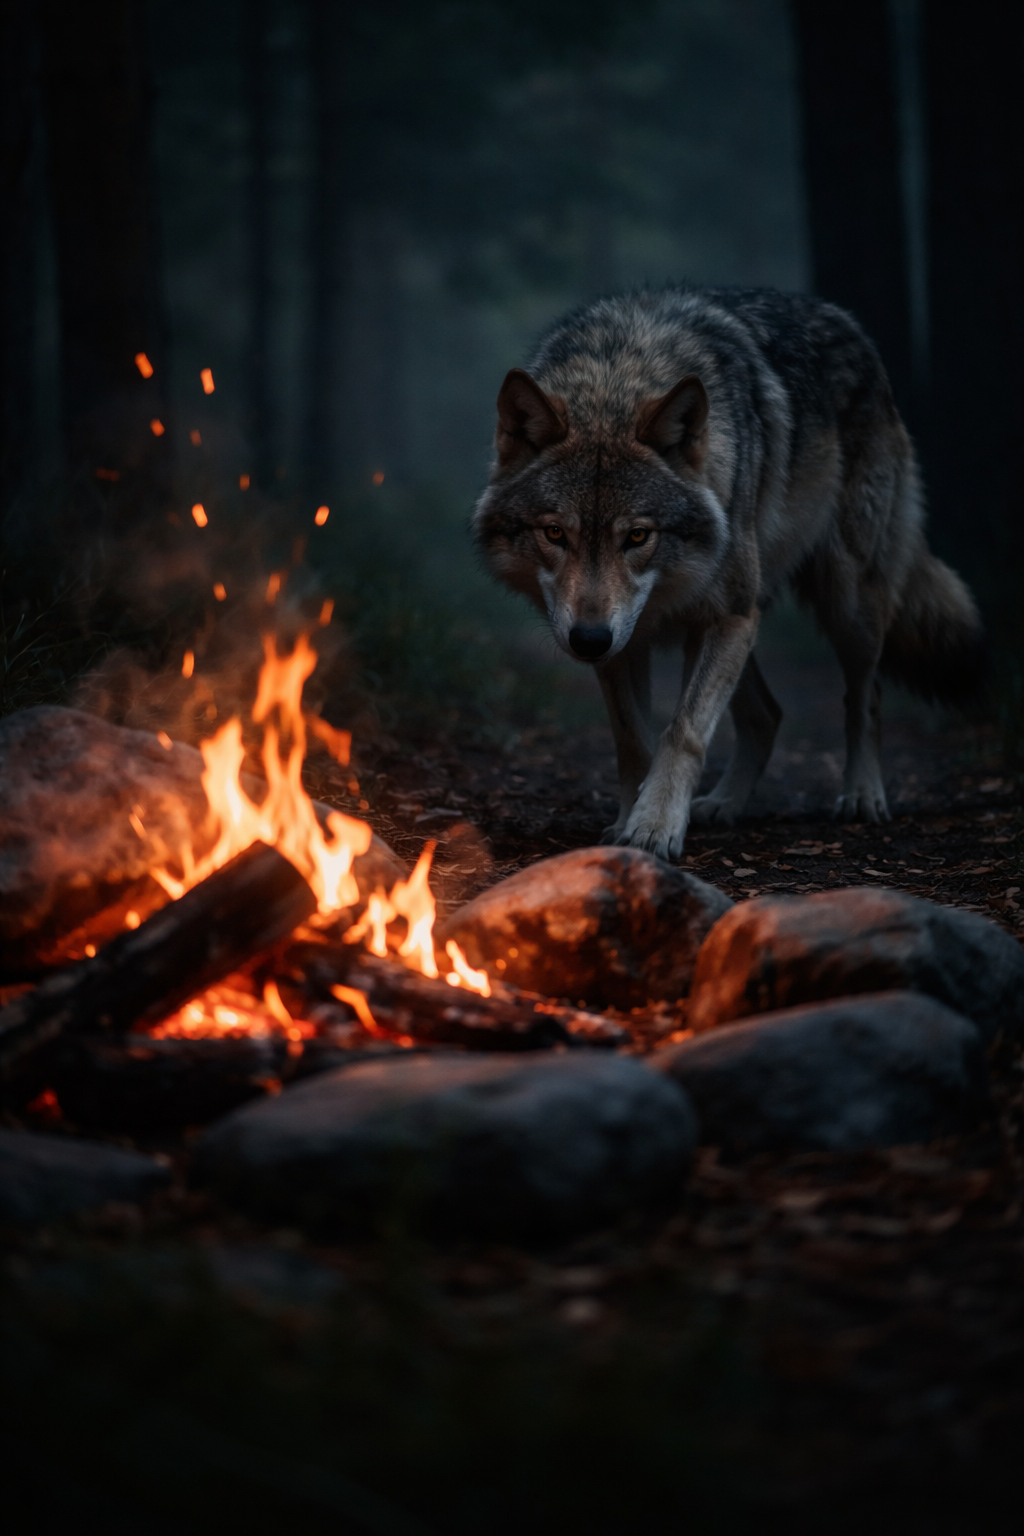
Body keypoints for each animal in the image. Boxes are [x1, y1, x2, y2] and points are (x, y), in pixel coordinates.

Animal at [473, 287, 984, 860]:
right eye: (556, 533)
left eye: (638, 536)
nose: (587, 640)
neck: (618, 375)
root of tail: (842, 318)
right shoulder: (631, 639)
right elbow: (632, 739)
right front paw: (629, 823)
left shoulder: (723, 618)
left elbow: (683, 731)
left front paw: (654, 826)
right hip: (740, 619)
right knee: (768, 714)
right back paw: (723, 805)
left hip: (842, 604)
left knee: (865, 696)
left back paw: (862, 795)